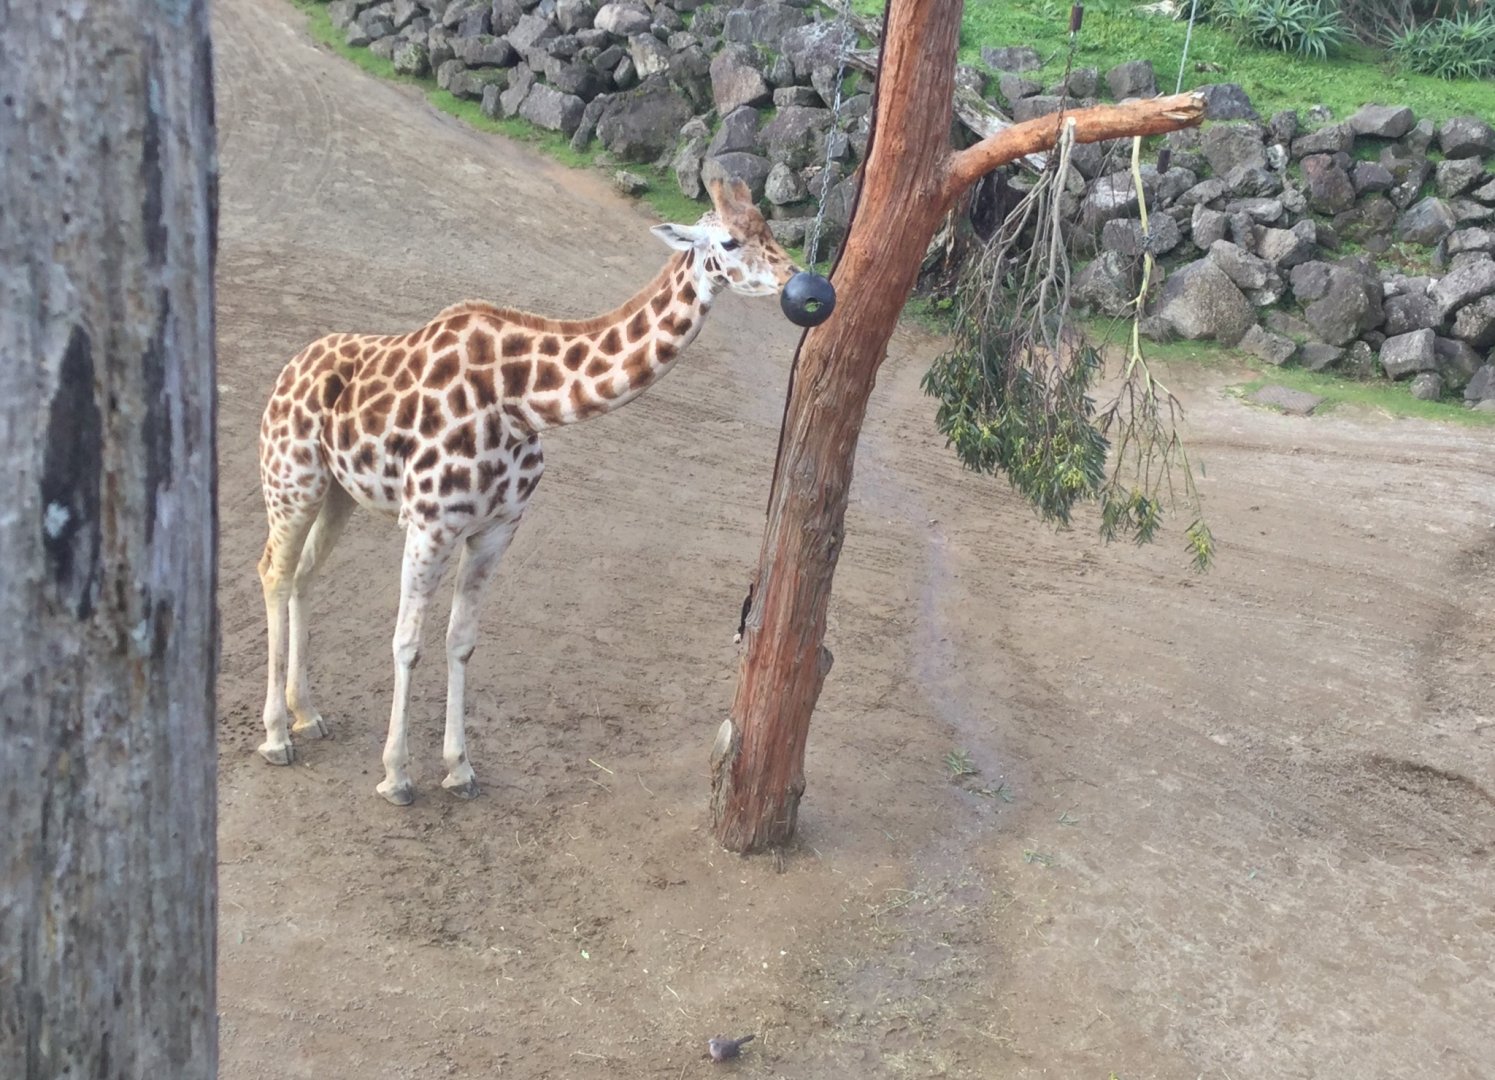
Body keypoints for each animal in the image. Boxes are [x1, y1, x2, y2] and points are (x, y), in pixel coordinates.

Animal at [256, 178, 809, 805]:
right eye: (729, 240)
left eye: (770, 229)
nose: (798, 281)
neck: (520, 400)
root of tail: (290, 367)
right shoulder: (429, 523)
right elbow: (406, 642)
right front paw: (396, 775)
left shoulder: (497, 528)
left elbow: (460, 639)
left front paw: (459, 768)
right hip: (291, 479)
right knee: (274, 571)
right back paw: (276, 736)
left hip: (337, 492)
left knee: (304, 574)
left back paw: (307, 714)